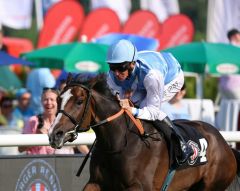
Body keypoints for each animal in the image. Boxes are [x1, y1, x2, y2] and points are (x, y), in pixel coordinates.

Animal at [48, 74, 240, 191]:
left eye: (79, 101)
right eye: (58, 99)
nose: (54, 134)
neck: (117, 142)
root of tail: (225, 145)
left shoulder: (139, 186)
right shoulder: (96, 183)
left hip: (211, 185)